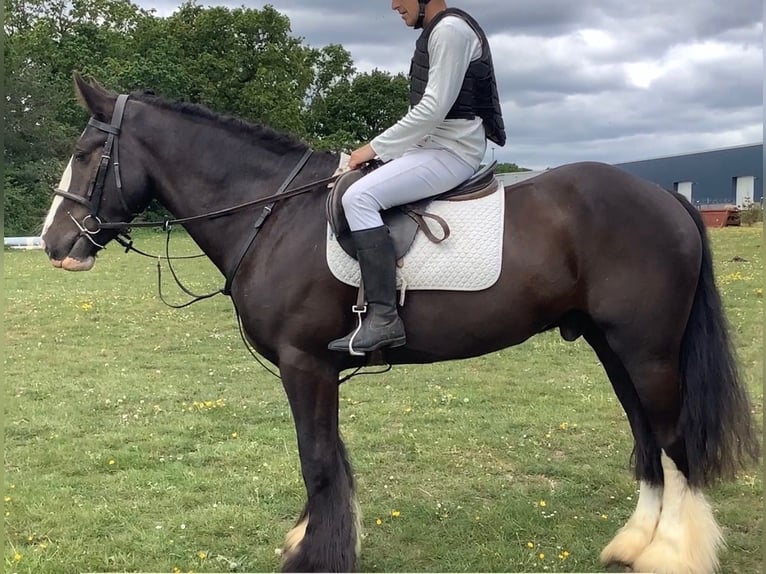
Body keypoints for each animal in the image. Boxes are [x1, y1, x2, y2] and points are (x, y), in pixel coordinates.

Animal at [41, 74, 759, 573]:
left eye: (86, 153)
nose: (53, 244)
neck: (276, 215)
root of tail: (663, 195)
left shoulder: (305, 363)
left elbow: (316, 460)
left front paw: (315, 556)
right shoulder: (316, 369)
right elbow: (326, 455)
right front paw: (315, 539)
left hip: (648, 349)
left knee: (674, 441)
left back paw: (673, 553)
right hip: (614, 347)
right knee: (647, 440)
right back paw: (636, 543)